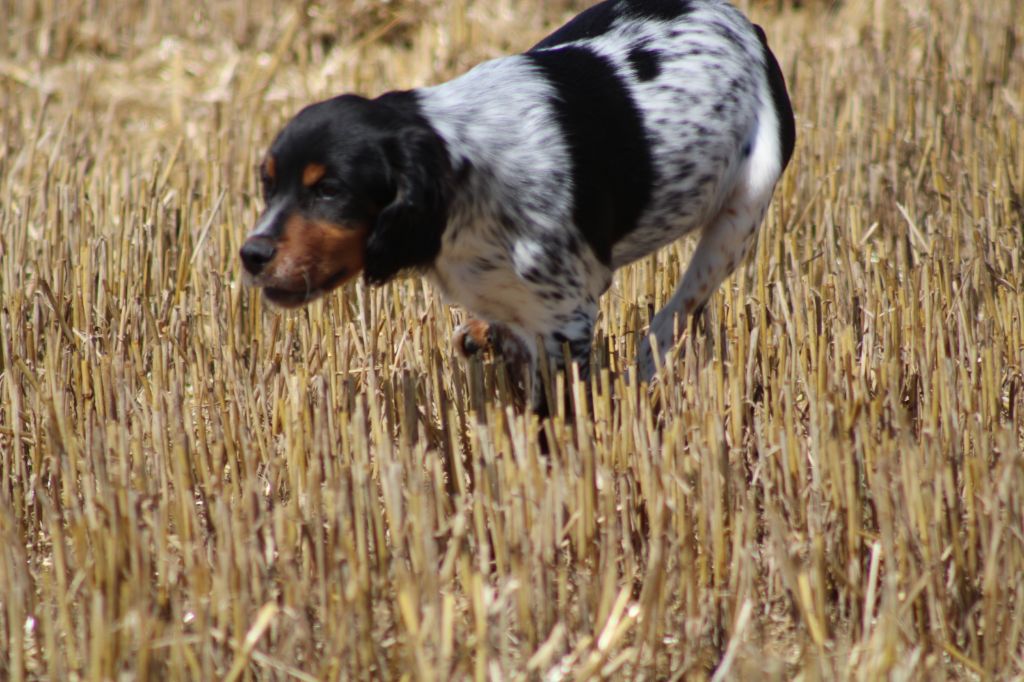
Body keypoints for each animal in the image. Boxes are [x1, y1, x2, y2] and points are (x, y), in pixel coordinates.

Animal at [241, 0, 798, 411]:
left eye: (329, 189)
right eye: (268, 184)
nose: (251, 255)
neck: (464, 163)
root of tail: (747, 24)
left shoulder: (567, 317)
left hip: (739, 217)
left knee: (676, 311)